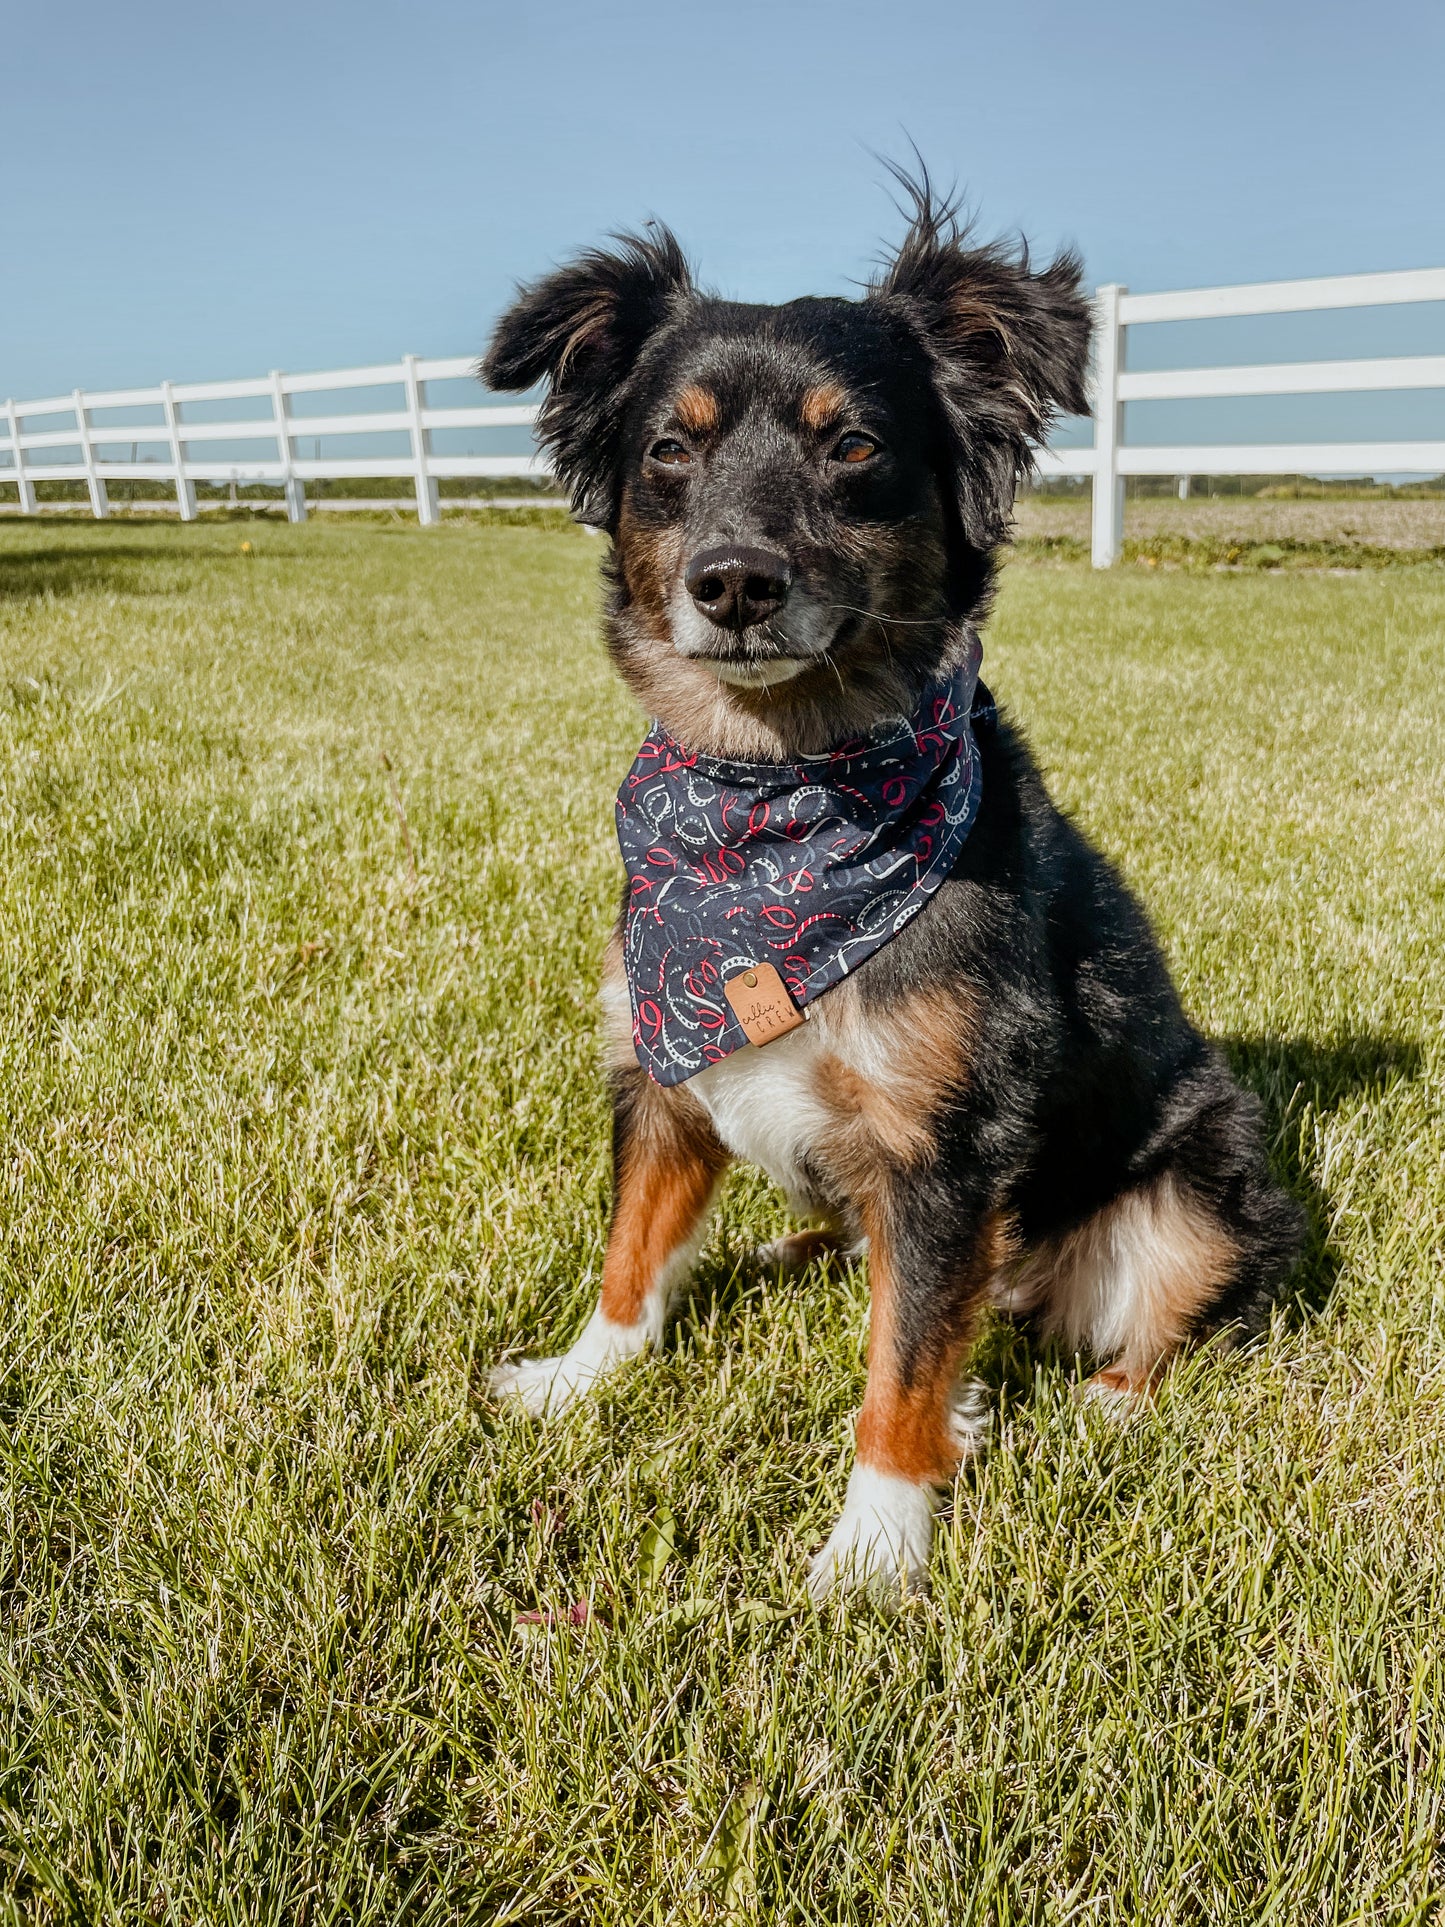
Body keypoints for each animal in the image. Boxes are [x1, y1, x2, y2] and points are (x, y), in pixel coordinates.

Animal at [481, 184, 1310, 1595]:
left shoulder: (944, 1147)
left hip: (1200, 1175)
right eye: (668, 450)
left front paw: (873, 1543)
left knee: (1176, 1310)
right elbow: (631, 1252)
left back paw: (1099, 1406)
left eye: (853, 445)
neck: (775, 806)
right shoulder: (658, 1069)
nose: (734, 580)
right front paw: (580, 1376)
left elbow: (903, 1363)